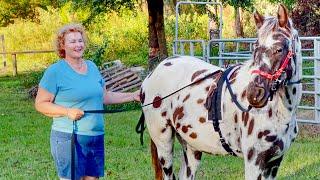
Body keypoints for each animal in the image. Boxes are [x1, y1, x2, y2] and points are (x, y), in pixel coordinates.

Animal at [139, 4, 300, 180]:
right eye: (255, 48)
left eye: (279, 49)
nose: (254, 94)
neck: (280, 112)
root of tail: (153, 73)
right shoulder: (254, 161)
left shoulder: (274, 162)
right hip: (164, 145)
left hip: (192, 148)